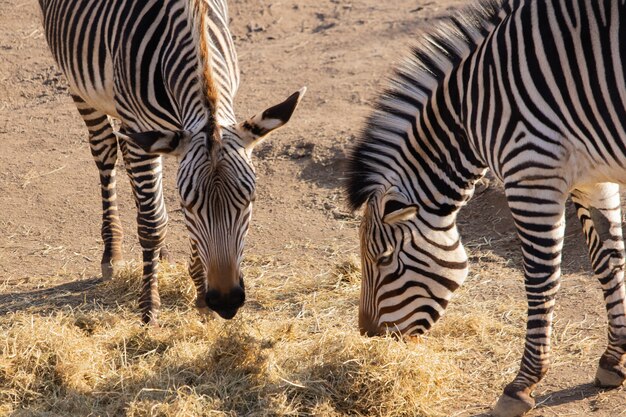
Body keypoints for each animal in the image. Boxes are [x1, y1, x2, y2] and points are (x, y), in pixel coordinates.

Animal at [37, 0, 304, 324]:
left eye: (249, 200)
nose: (226, 301)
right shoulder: (141, 126)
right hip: (80, 84)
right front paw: (149, 307)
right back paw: (112, 251)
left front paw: (199, 293)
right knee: (105, 148)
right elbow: (152, 223)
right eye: (188, 206)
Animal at [346, 0, 624, 416]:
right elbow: (609, 260)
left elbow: (540, 281)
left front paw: (521, 386)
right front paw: (613, 360)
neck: (469, 111)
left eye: (382, 259)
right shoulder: (590, 176)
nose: (369, 337)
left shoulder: (531, 173)